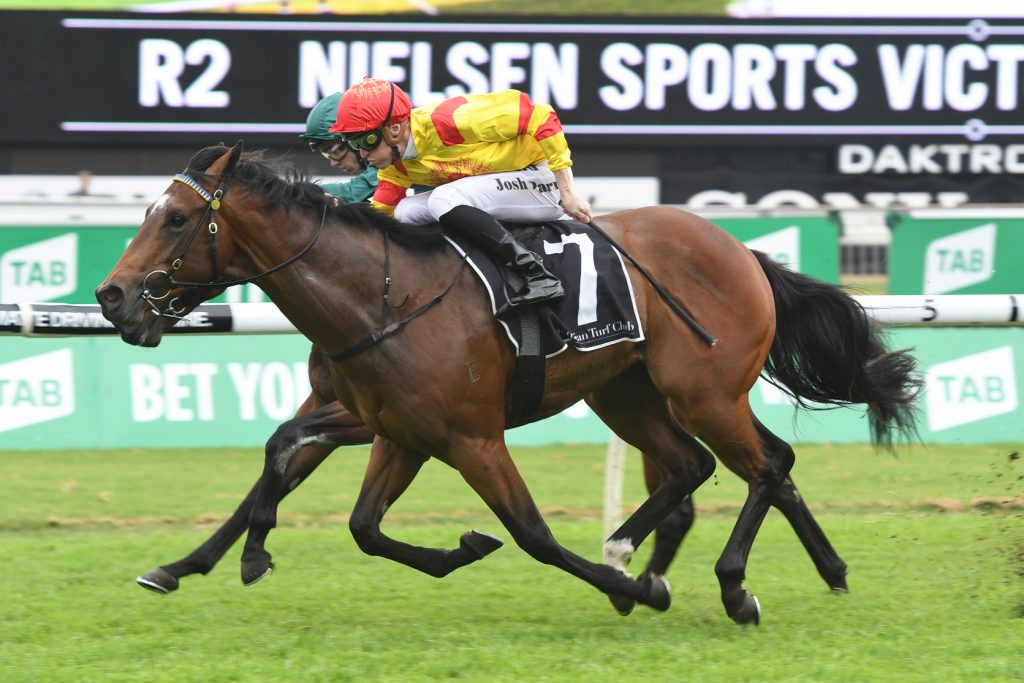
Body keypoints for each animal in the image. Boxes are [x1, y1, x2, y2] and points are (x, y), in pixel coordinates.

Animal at [98, 143, 919, 623]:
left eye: (175, 219)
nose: (112, 297)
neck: (384, 296)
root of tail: (742, 250)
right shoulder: (392, 429)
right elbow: (343, 509)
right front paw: (202, 561)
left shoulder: (471, 437)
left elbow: (533, 535)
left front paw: (636, 589)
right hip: (629, 391)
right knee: (699, 466)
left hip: (705, 392)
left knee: (765, 464)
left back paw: (727, 583)